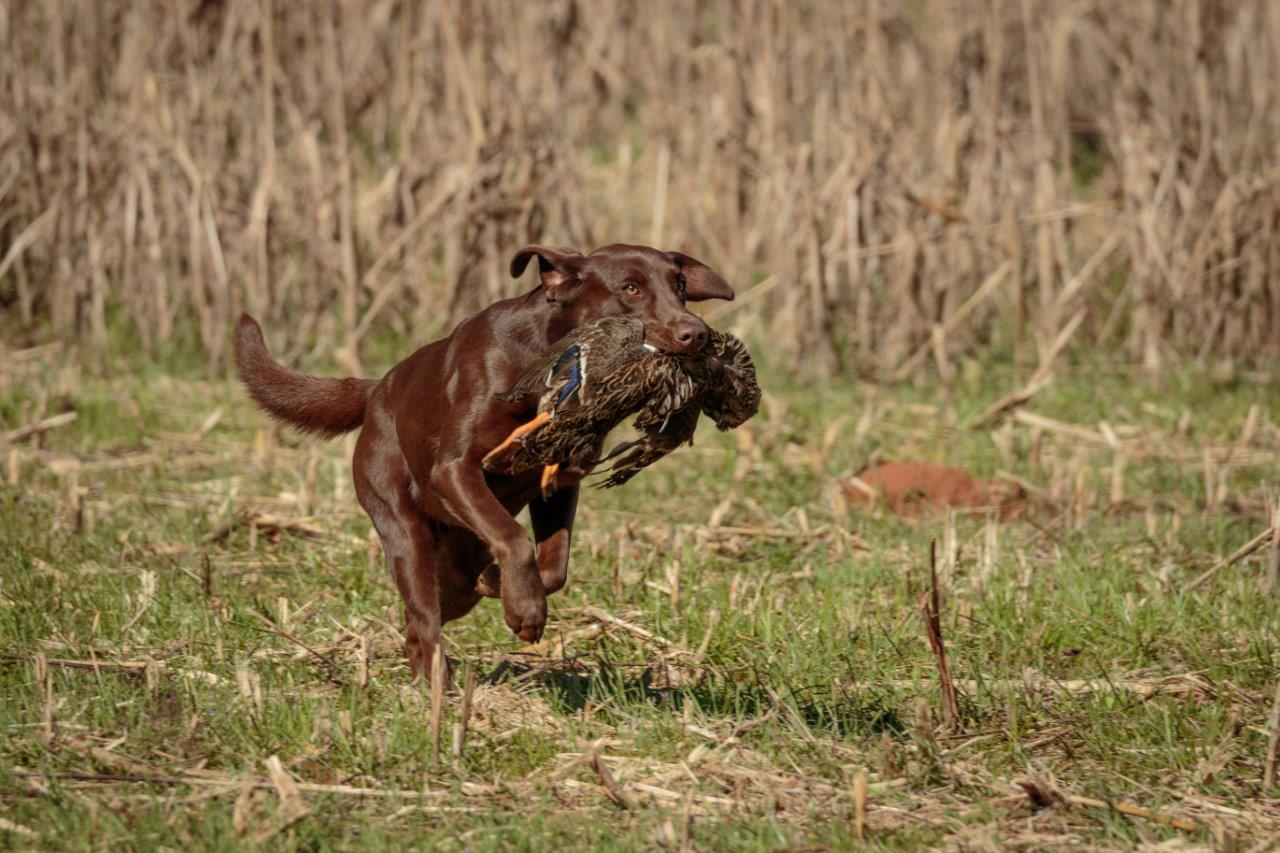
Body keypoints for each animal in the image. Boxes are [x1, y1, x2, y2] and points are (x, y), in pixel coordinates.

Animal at [235, 242, 737, 676]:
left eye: (679, 286)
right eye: (630, 288)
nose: (696, 334)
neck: (545, 360)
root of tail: (377, 390)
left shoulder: (559, 482)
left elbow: (554, 564)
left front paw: (505, 586)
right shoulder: (454, 470)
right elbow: (513, 537)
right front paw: (526, 609)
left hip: (454, 566)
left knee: (425, 617)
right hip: (402, 528)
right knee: (423, 615)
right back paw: (440, 690)